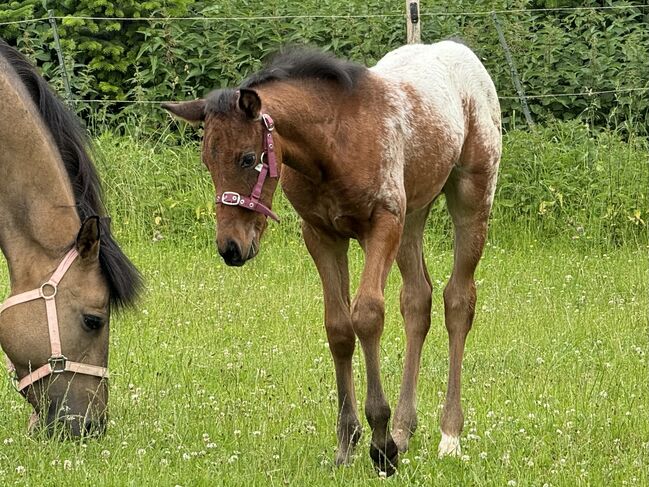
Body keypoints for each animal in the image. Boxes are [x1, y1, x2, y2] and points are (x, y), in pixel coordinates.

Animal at [162, 42, 502, 476]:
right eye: (208, 161)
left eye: (248, 158)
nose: (231, 247)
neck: (333, 143)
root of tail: (463, 54)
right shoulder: (322, 235)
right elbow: (339, 327)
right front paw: (348, 443)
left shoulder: (382, 223)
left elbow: (367, 316)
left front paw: (380, 445)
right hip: (413, 215)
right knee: (417, 300)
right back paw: (405, 430)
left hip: (471, 197)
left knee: (458, 300)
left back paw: (449, 436)